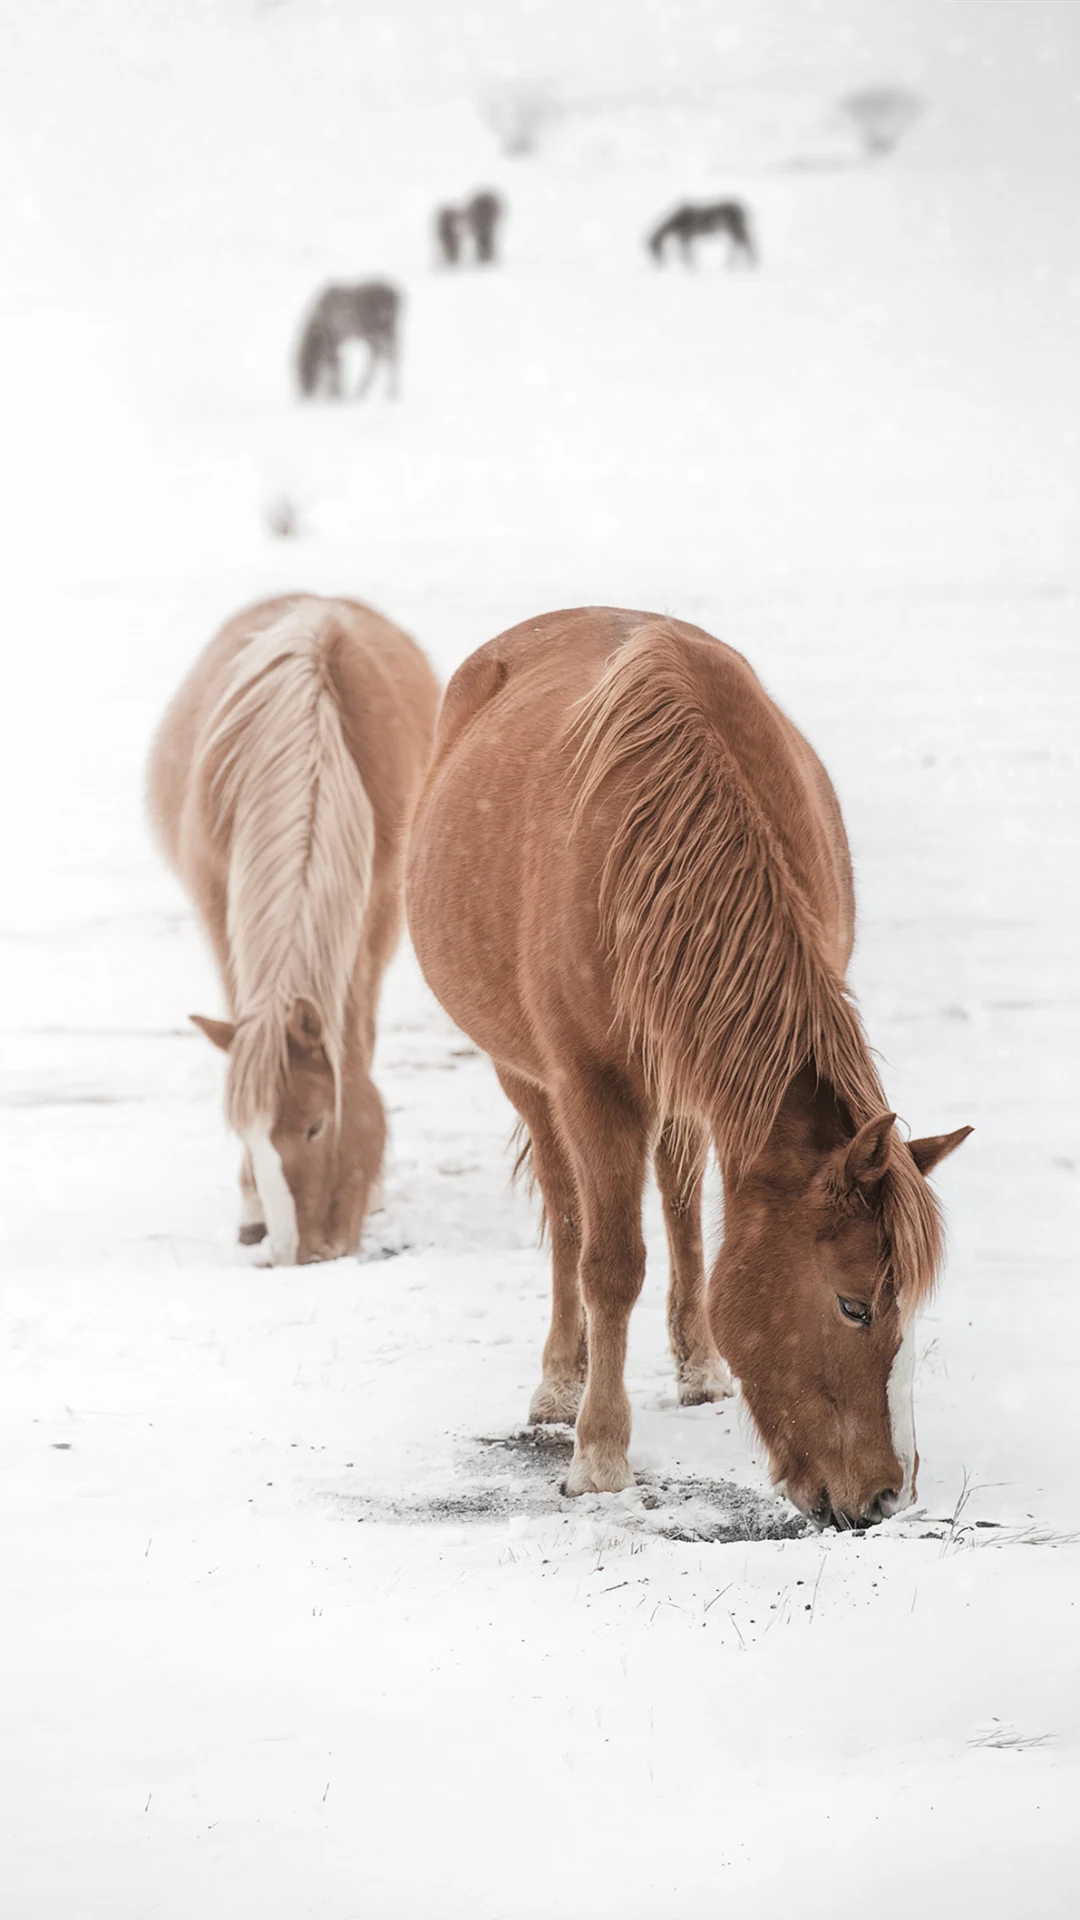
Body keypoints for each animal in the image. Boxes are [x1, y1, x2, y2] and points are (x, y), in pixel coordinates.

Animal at [148, 591, 440, 1267]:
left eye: (315, 1125)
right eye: (247, 1133)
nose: (298, 1253)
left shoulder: (376, 914)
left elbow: (355, 1040)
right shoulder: (218, 907)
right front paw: (251, 1208)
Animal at [407, 610, 972, 1528]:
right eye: (853, 1305)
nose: (887, 1496)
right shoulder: (592, 1088)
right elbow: (609, 1264)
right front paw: (599, 1456)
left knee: (676, 1198)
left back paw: (699, 1367)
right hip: (524, 1077)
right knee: (567, 1212)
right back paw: (560, 1383)